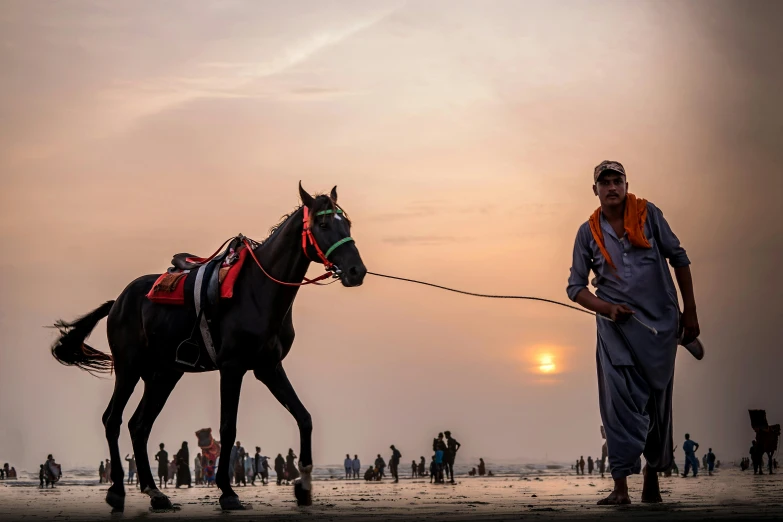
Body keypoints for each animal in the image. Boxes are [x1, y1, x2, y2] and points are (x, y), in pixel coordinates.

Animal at [51, 182, 368, 508]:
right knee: (113, 420)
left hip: (163, 374)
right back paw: (116, 490)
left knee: (139, 426)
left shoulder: (268, 368)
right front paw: (227, 492)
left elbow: (304, 417)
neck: (258, 291)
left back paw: (155, 492)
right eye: (323, 224)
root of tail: (118, 301)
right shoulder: (232, 368)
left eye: (347, 223)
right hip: (130, 368)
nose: (356, 270)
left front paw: (303, 486)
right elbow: (227, 428)